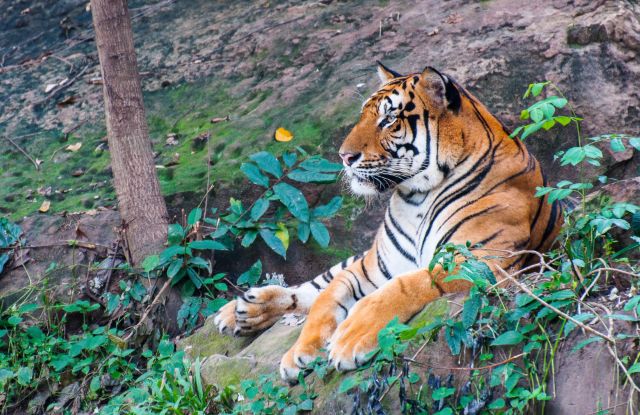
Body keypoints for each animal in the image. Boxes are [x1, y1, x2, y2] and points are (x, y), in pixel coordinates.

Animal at [214, 62, 562, 383]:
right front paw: (300, 352)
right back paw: (241, 310)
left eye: (388, 119)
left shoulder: (483, 261)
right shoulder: (372, 267)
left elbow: (408, 285)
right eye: (363, 116)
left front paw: (349, 339)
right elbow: (327, 297)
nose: (344, 157)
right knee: (312, 286)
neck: (417, 197)